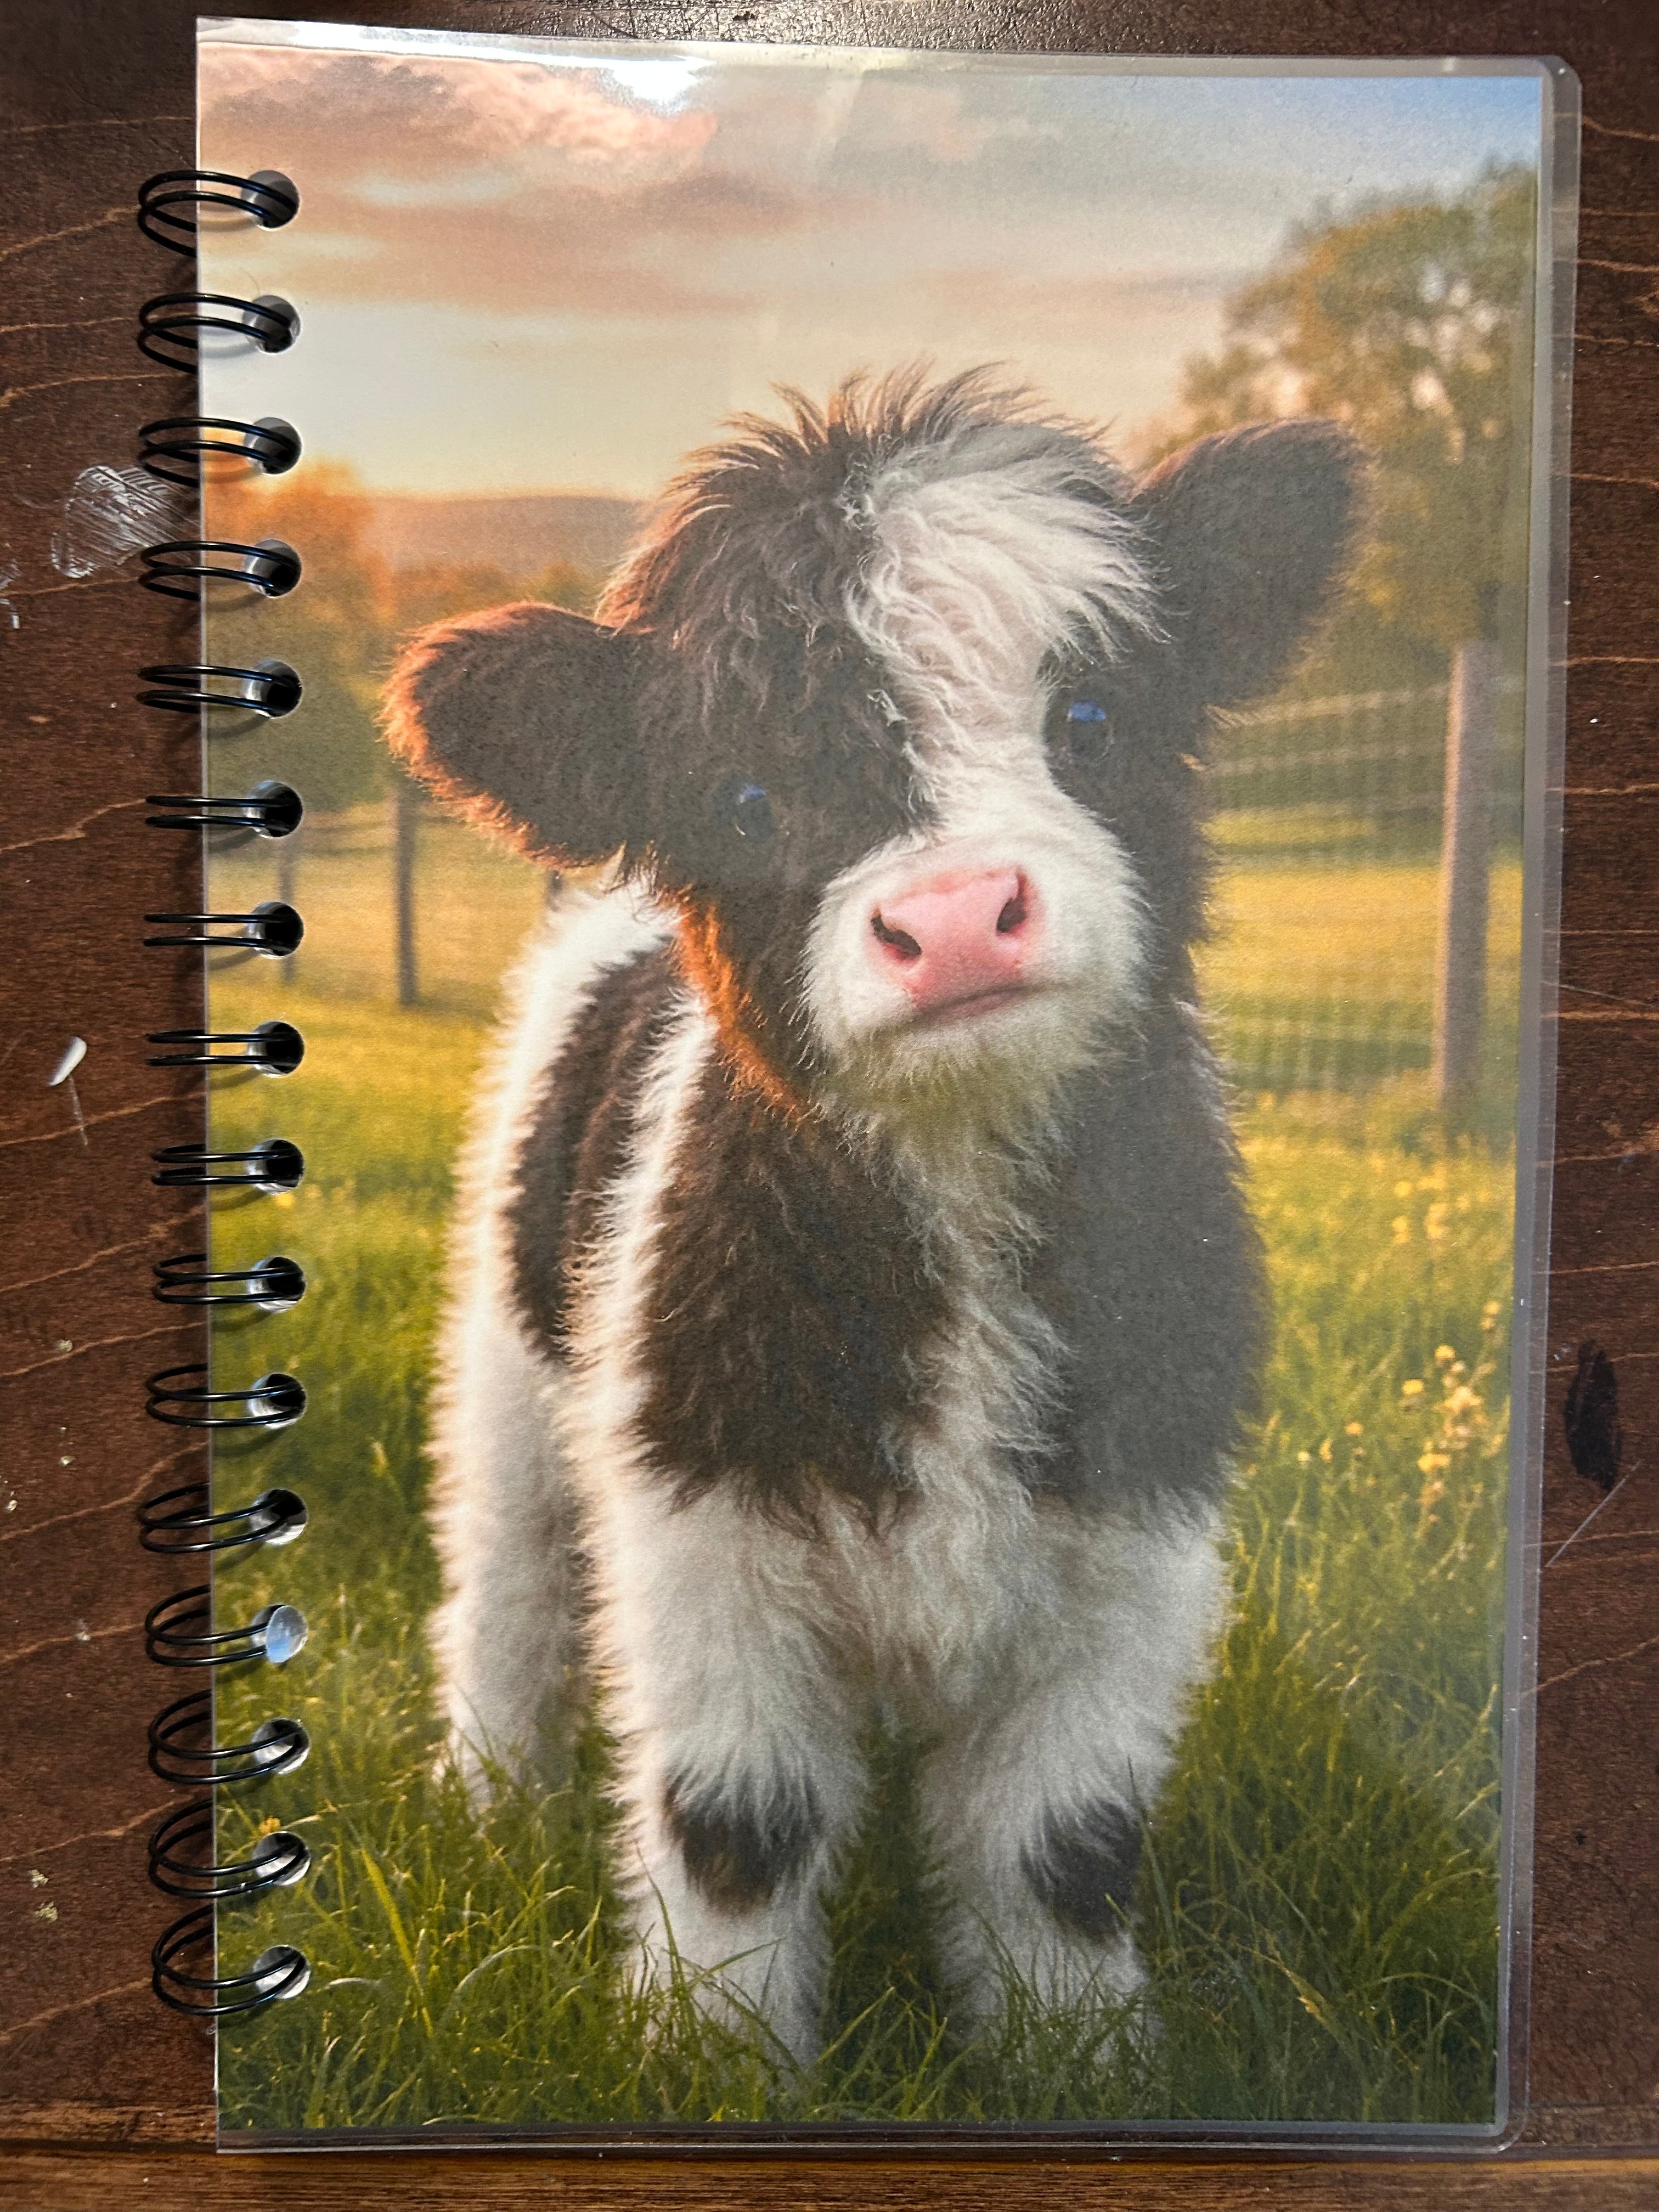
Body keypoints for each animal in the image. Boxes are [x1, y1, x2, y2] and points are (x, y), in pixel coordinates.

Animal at [384, 368, 1362, 2064]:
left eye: (1092, 717)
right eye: (745, 797)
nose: (958, 918)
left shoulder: (1142, 1542)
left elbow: (1061, 1844)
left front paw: (1073, 2061)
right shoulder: (702, 1523)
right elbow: (741, 1822)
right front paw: (711, 2058)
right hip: (507, 1378)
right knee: (503, 1599)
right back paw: (488, 1809)